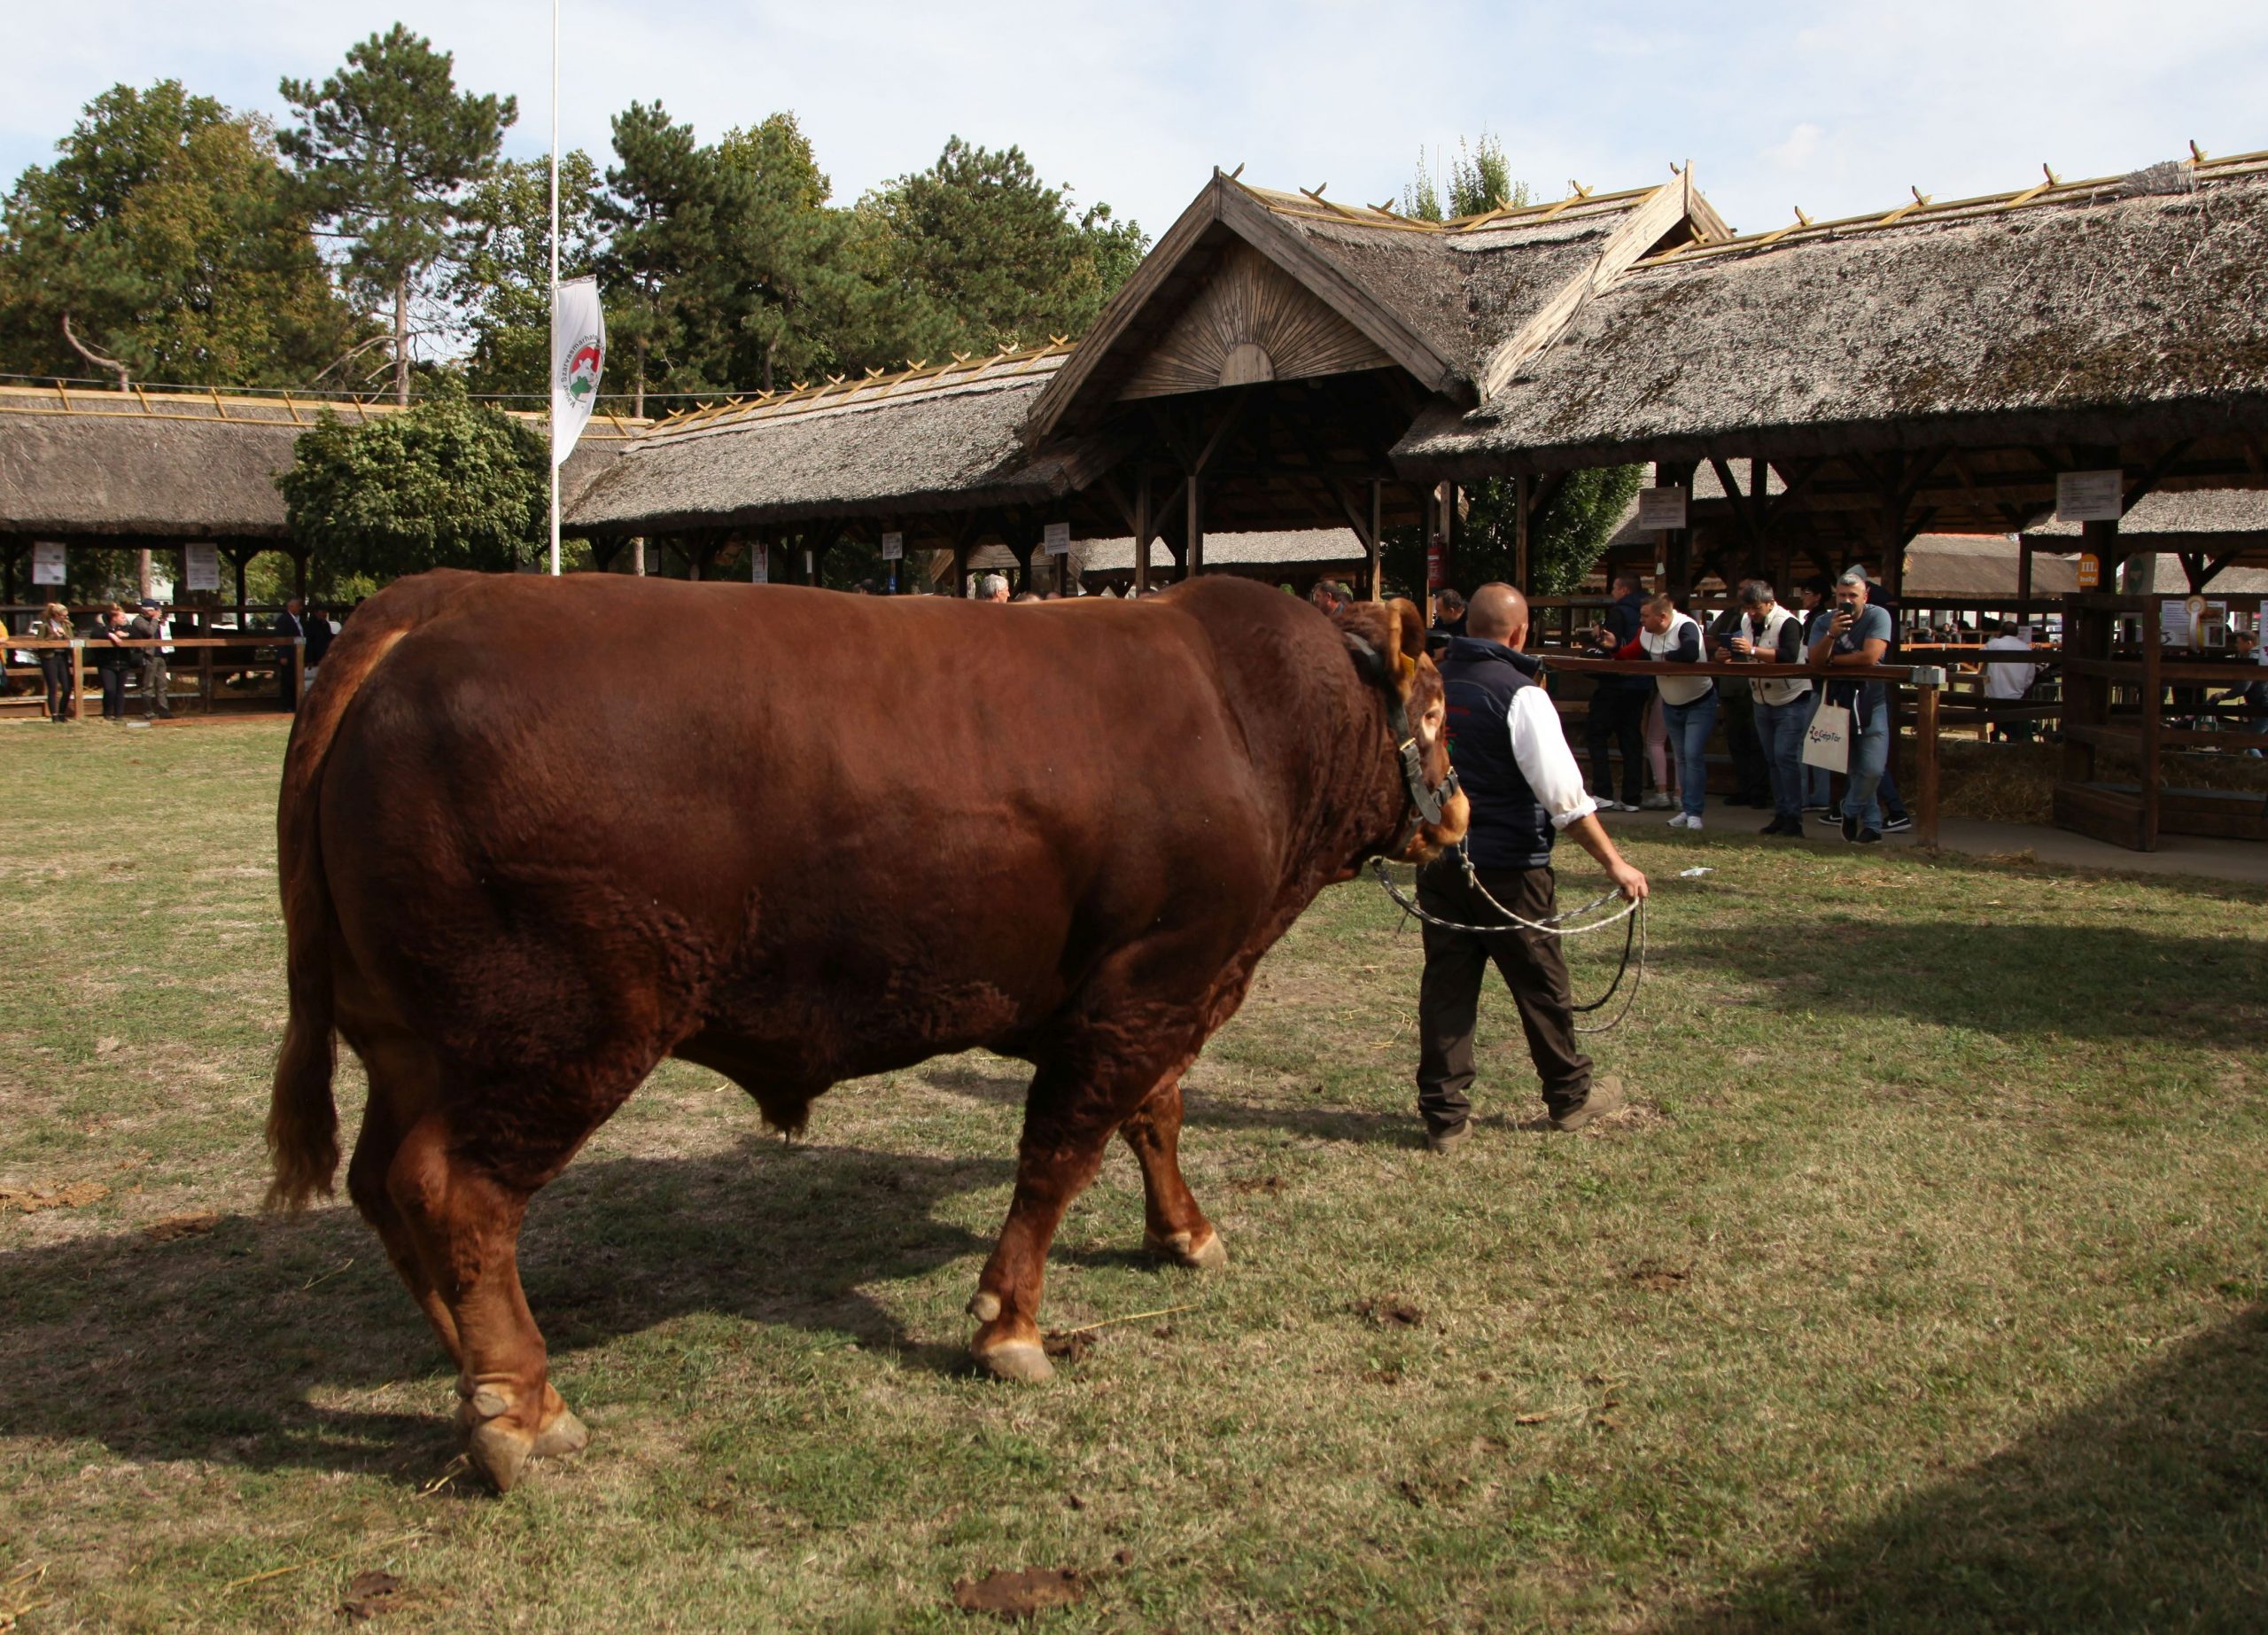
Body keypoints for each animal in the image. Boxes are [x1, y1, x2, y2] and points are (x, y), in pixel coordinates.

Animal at [269, 566, 1469, 1487]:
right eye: (1440, 709)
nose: (1456, 807)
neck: (1244, 718)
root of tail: (444, 600)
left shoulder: (1147, 990)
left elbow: (1153, 1117)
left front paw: (1184, 1233)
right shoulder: (1155, 980)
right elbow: (1060, 1151)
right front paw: (1008, 1326)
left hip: (410, 1039)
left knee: (385, 1184)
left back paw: (478, 1377)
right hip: (558, 1031)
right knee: (456, 1192)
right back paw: (520, 1411)